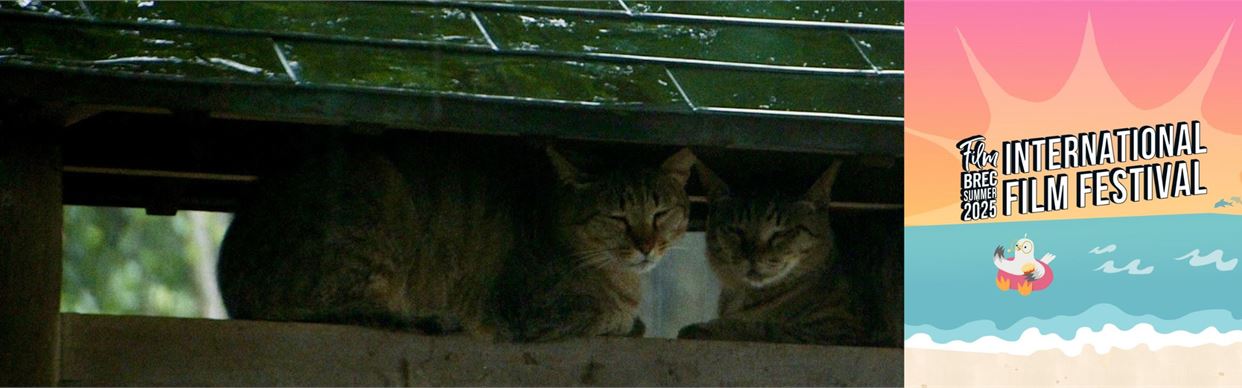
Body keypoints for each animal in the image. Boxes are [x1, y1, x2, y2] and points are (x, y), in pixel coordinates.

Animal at [217, 134, 695, 343]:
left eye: (660, 212)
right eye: (617, 216)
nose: (646, 245)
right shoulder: (528, 310)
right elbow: (607, 314)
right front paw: (628, 319)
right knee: (347, 310)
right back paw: (431, 319)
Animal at [675, 159, 889, 348]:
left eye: (781, 233)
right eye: (736, 231)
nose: (752, 257)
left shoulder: (843, 330)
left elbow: (764, 328)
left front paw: (708, 328)